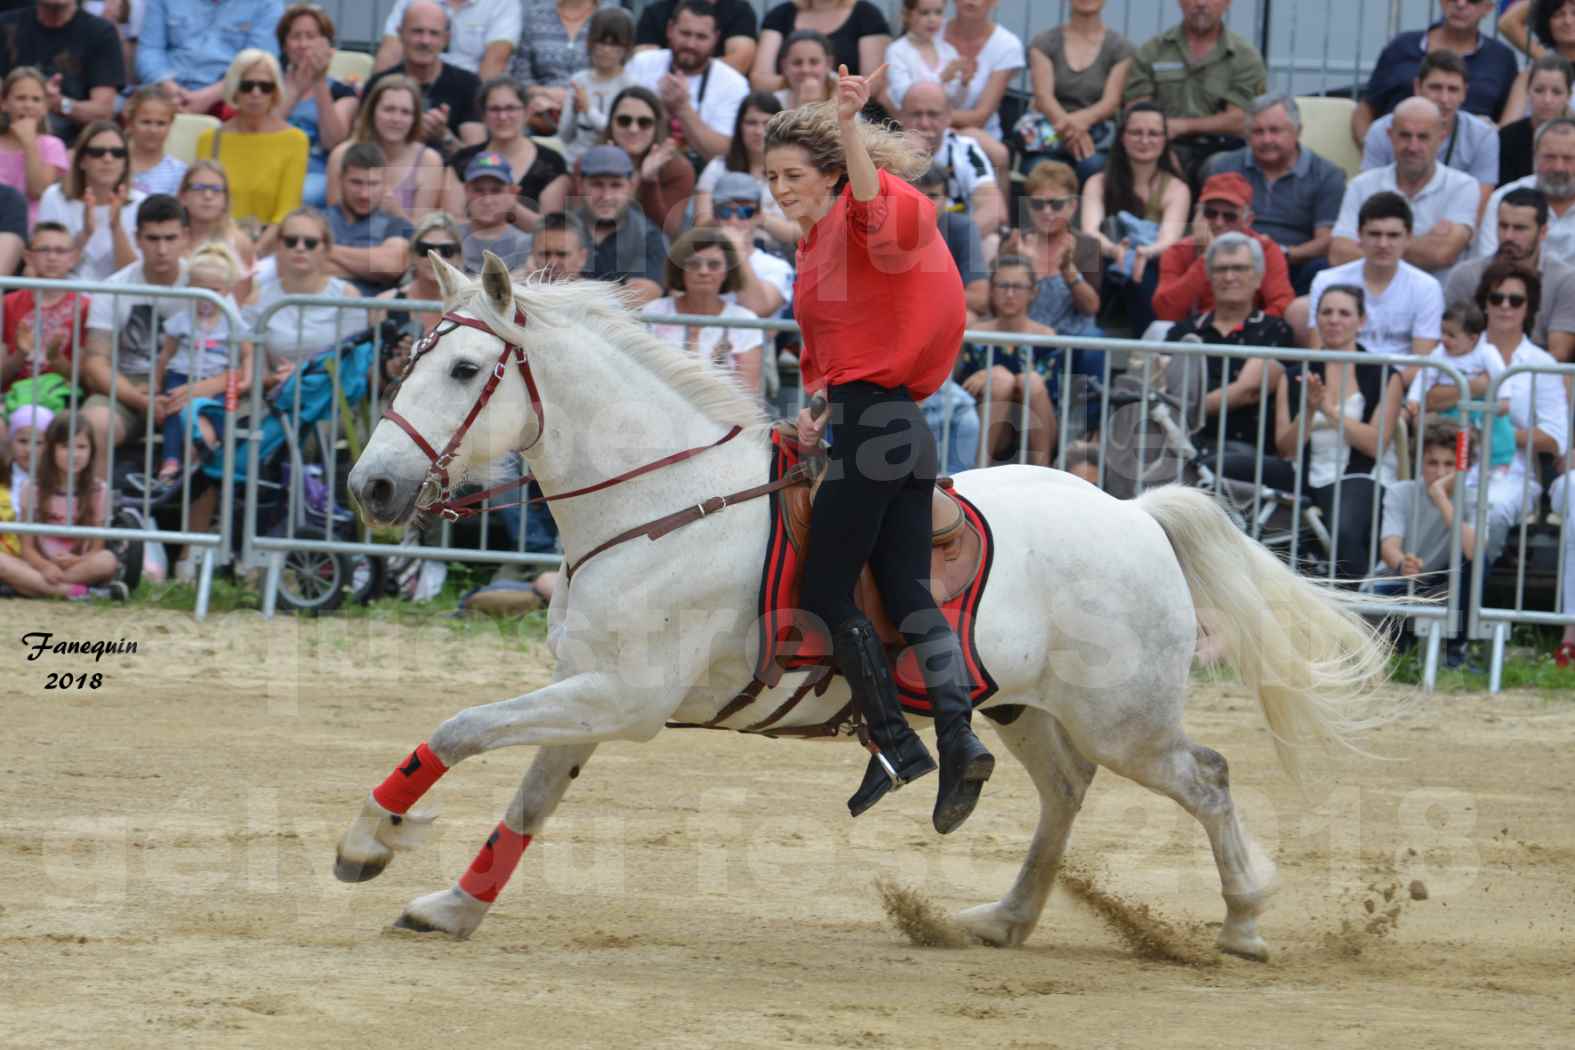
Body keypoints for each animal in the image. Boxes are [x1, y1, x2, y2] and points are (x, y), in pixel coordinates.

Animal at [335, 251, 1392, 963]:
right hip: (1020, 705)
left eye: (463, 372)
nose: (371, 487)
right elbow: (530, 798)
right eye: (411, 359)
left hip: (1125, 718)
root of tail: (1133, 514)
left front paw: (369, 839)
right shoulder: (591, 691)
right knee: (1065, 791)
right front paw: (453, 906)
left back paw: (1244, 921)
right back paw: (1003, 917)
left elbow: (461, 730)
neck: (662, 505)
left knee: (1204, 778)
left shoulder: (620, 699)